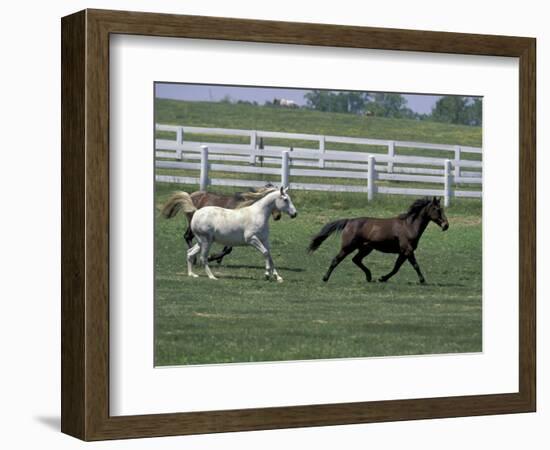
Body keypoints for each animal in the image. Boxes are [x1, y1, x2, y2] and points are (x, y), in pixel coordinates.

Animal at [308, 196, 450, 284]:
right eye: (437, 209)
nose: (446, 225)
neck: (409, 226)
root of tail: (349, 221)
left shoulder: (403, 252)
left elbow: (396, 267)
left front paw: (382, 278)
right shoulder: (408, 250)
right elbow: (415, 265)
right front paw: (423, 280)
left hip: (366, 248)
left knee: (356, 260)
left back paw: (369, 276)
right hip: (348, 247)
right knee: (336, 260)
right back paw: (325, 278)